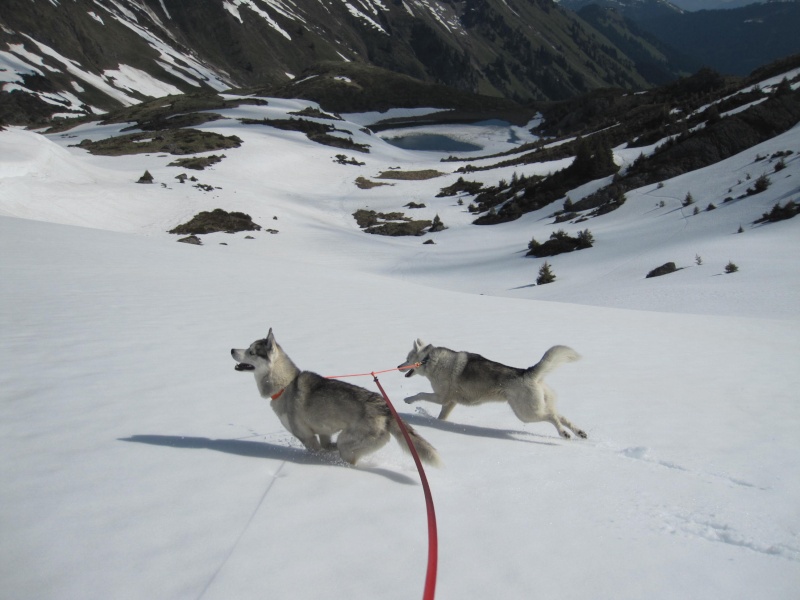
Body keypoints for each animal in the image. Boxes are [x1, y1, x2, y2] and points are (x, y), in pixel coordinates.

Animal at [231, 330, 444, 466]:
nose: (232, 350)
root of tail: (385, 408)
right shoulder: (323, 432)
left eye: (251, 351)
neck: (286, 384)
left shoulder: (307, 438)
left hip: (347, 443)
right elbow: (326, 445)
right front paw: (328, 450)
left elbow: (318, 450)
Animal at [400, 340, 588, 438]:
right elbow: (441, 417)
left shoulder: (442, 398)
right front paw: (439, 424)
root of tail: (528, 373)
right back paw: (579, 432)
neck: (428, 360)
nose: (399, 366)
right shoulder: (450, 403)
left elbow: (420, 394)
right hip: (537, 407)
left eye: (407, 358)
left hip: (526, 414)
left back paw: (564, 433)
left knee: (552, 417)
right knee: (560, 416)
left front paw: (408, 400)